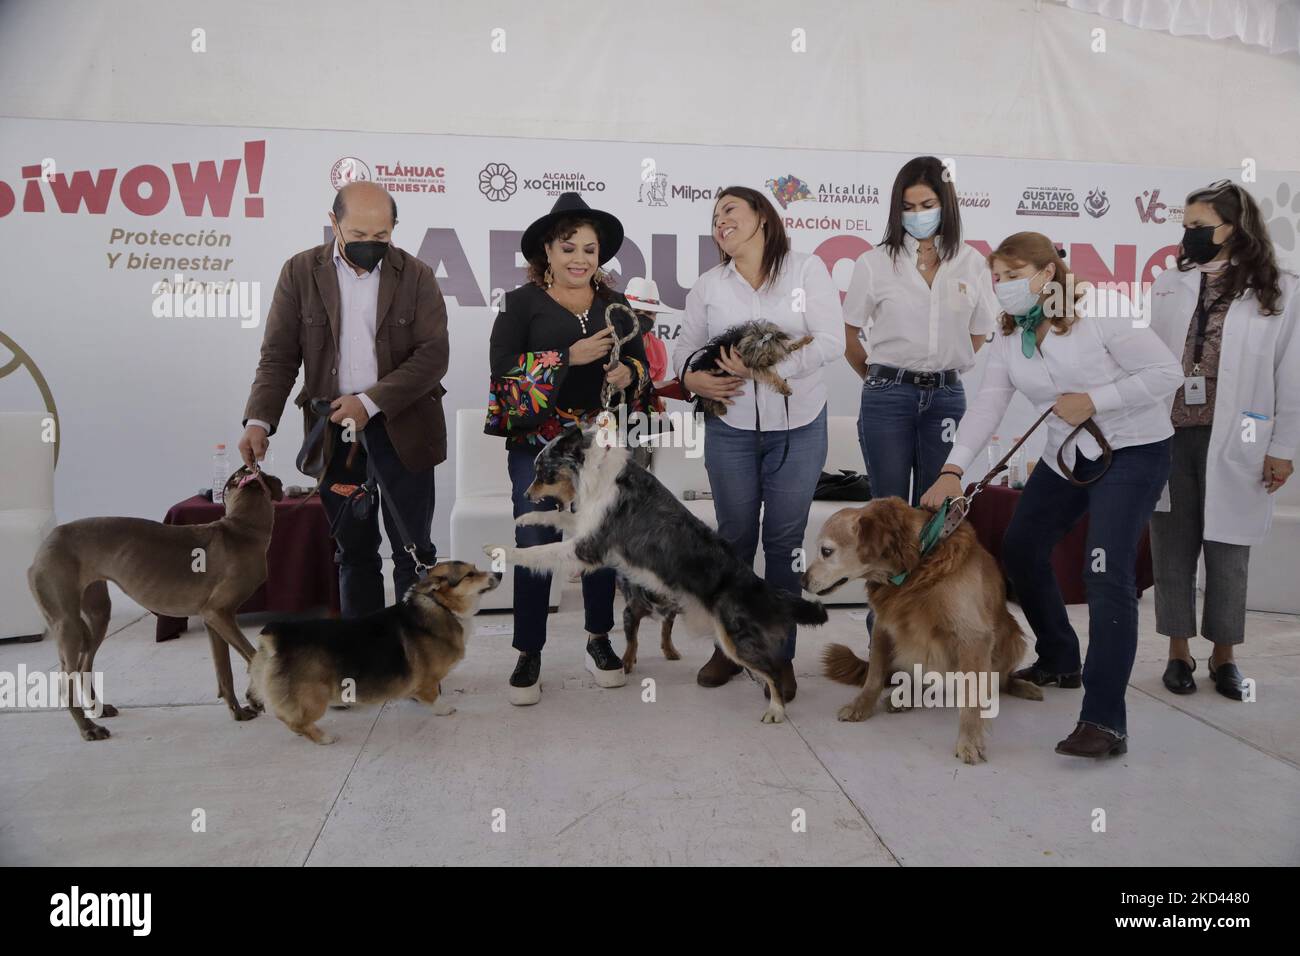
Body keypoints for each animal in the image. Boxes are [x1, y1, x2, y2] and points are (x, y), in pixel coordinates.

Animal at [26, 463, 283, 738]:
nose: (248, 465)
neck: (242, 529)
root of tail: (43, 546)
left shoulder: (213, 620)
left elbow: (225, 671)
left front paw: (239, 710)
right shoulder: (218, 612)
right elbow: (254, 655)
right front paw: (254, 696)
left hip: (97, 613)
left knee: (84, 666)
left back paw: (99, 709)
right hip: (68, 622)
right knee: (66, 681)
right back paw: (88, 728)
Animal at [248, 561, 496, 749]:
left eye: (476, 568)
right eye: (470, 574)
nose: (499, 573)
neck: (441, 606)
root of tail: (278, 635)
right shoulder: (428, 680)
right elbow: (433, 697)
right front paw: (444, 710)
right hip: (314, 697)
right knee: (295, 721)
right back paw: (325, 737)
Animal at [488, 421, 821, 723]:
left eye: (543, 472)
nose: (527, 495)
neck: (595, 474)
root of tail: (756, 583)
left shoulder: (590, 548)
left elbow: (537, 552)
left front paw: (498, 550)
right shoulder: (587, 526)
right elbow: (555, 518)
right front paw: (527, 518)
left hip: (735, 638)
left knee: (773, 670)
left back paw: (776, 709)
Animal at [795, 496, 1040, 764]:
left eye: (826, 551)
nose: (802, 581)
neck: (917, 564)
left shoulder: (974, 637)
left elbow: (972, 696)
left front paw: (969, 741)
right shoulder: (884, 625)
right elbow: (874, 677)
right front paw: (861, 706)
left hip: (1013, 639)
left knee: (1001, 679)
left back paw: (1020, 686)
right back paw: (906, 696)